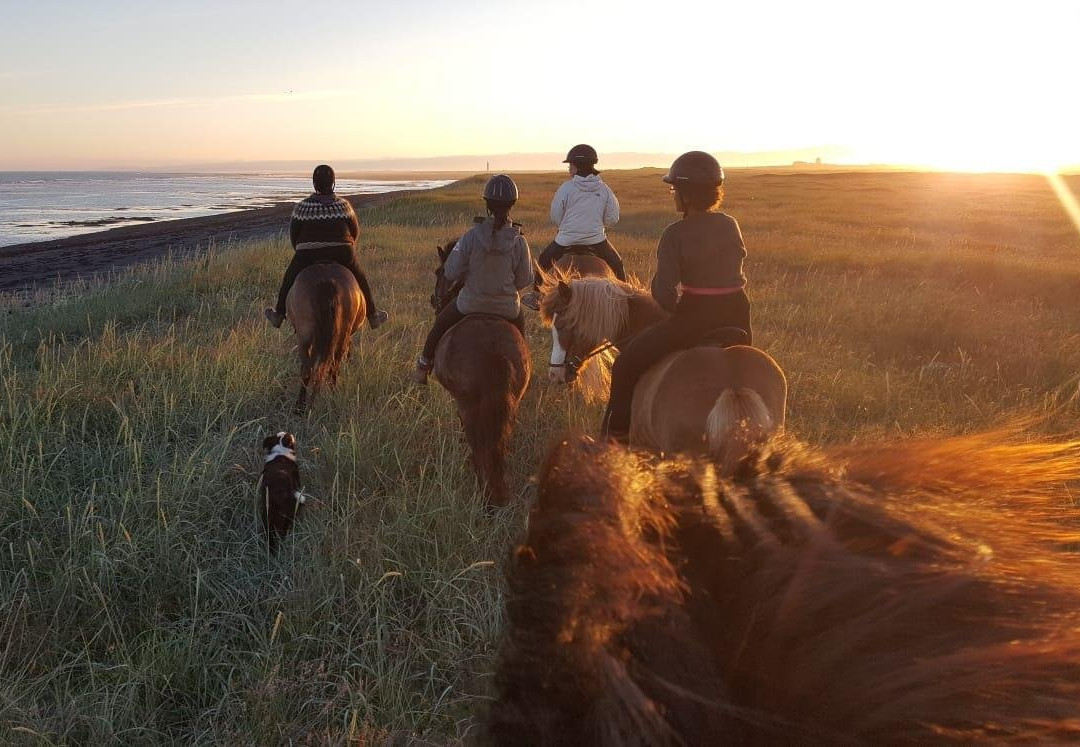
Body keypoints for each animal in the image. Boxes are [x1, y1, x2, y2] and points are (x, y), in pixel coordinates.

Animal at [286, 263, 366, 411]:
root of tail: (328, 281)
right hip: (340, 336)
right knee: (332, 368)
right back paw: (332, 397)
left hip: (304, 336)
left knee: (307, 369)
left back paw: (301, 406)